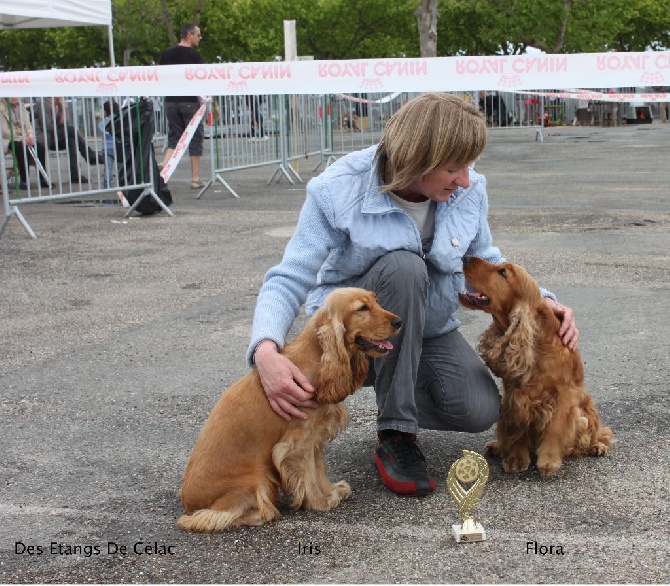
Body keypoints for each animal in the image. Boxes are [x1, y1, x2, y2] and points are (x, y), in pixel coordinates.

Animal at [176, 286, 402, 532]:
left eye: (376, 301)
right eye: (362, 308)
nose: (399, 321)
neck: (317, 359)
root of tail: (188, 502)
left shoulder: (315, 437)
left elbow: (318, 468)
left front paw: (331, 491)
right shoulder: (296, 443)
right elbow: (308, 473)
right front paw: (320, 502)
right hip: (258, 477)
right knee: (211, 517)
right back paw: (264, 513)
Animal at [462, 256, 616, 474]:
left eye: (503, 272)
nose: (465, 257)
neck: (537, 345)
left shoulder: (564, 395)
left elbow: (556, 428)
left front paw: (549, 461)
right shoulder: (515, 396)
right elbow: (517, 427)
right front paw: (516, 458)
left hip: (586, 410)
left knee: (600, 431)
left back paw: (596, 446)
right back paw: (497, 447)